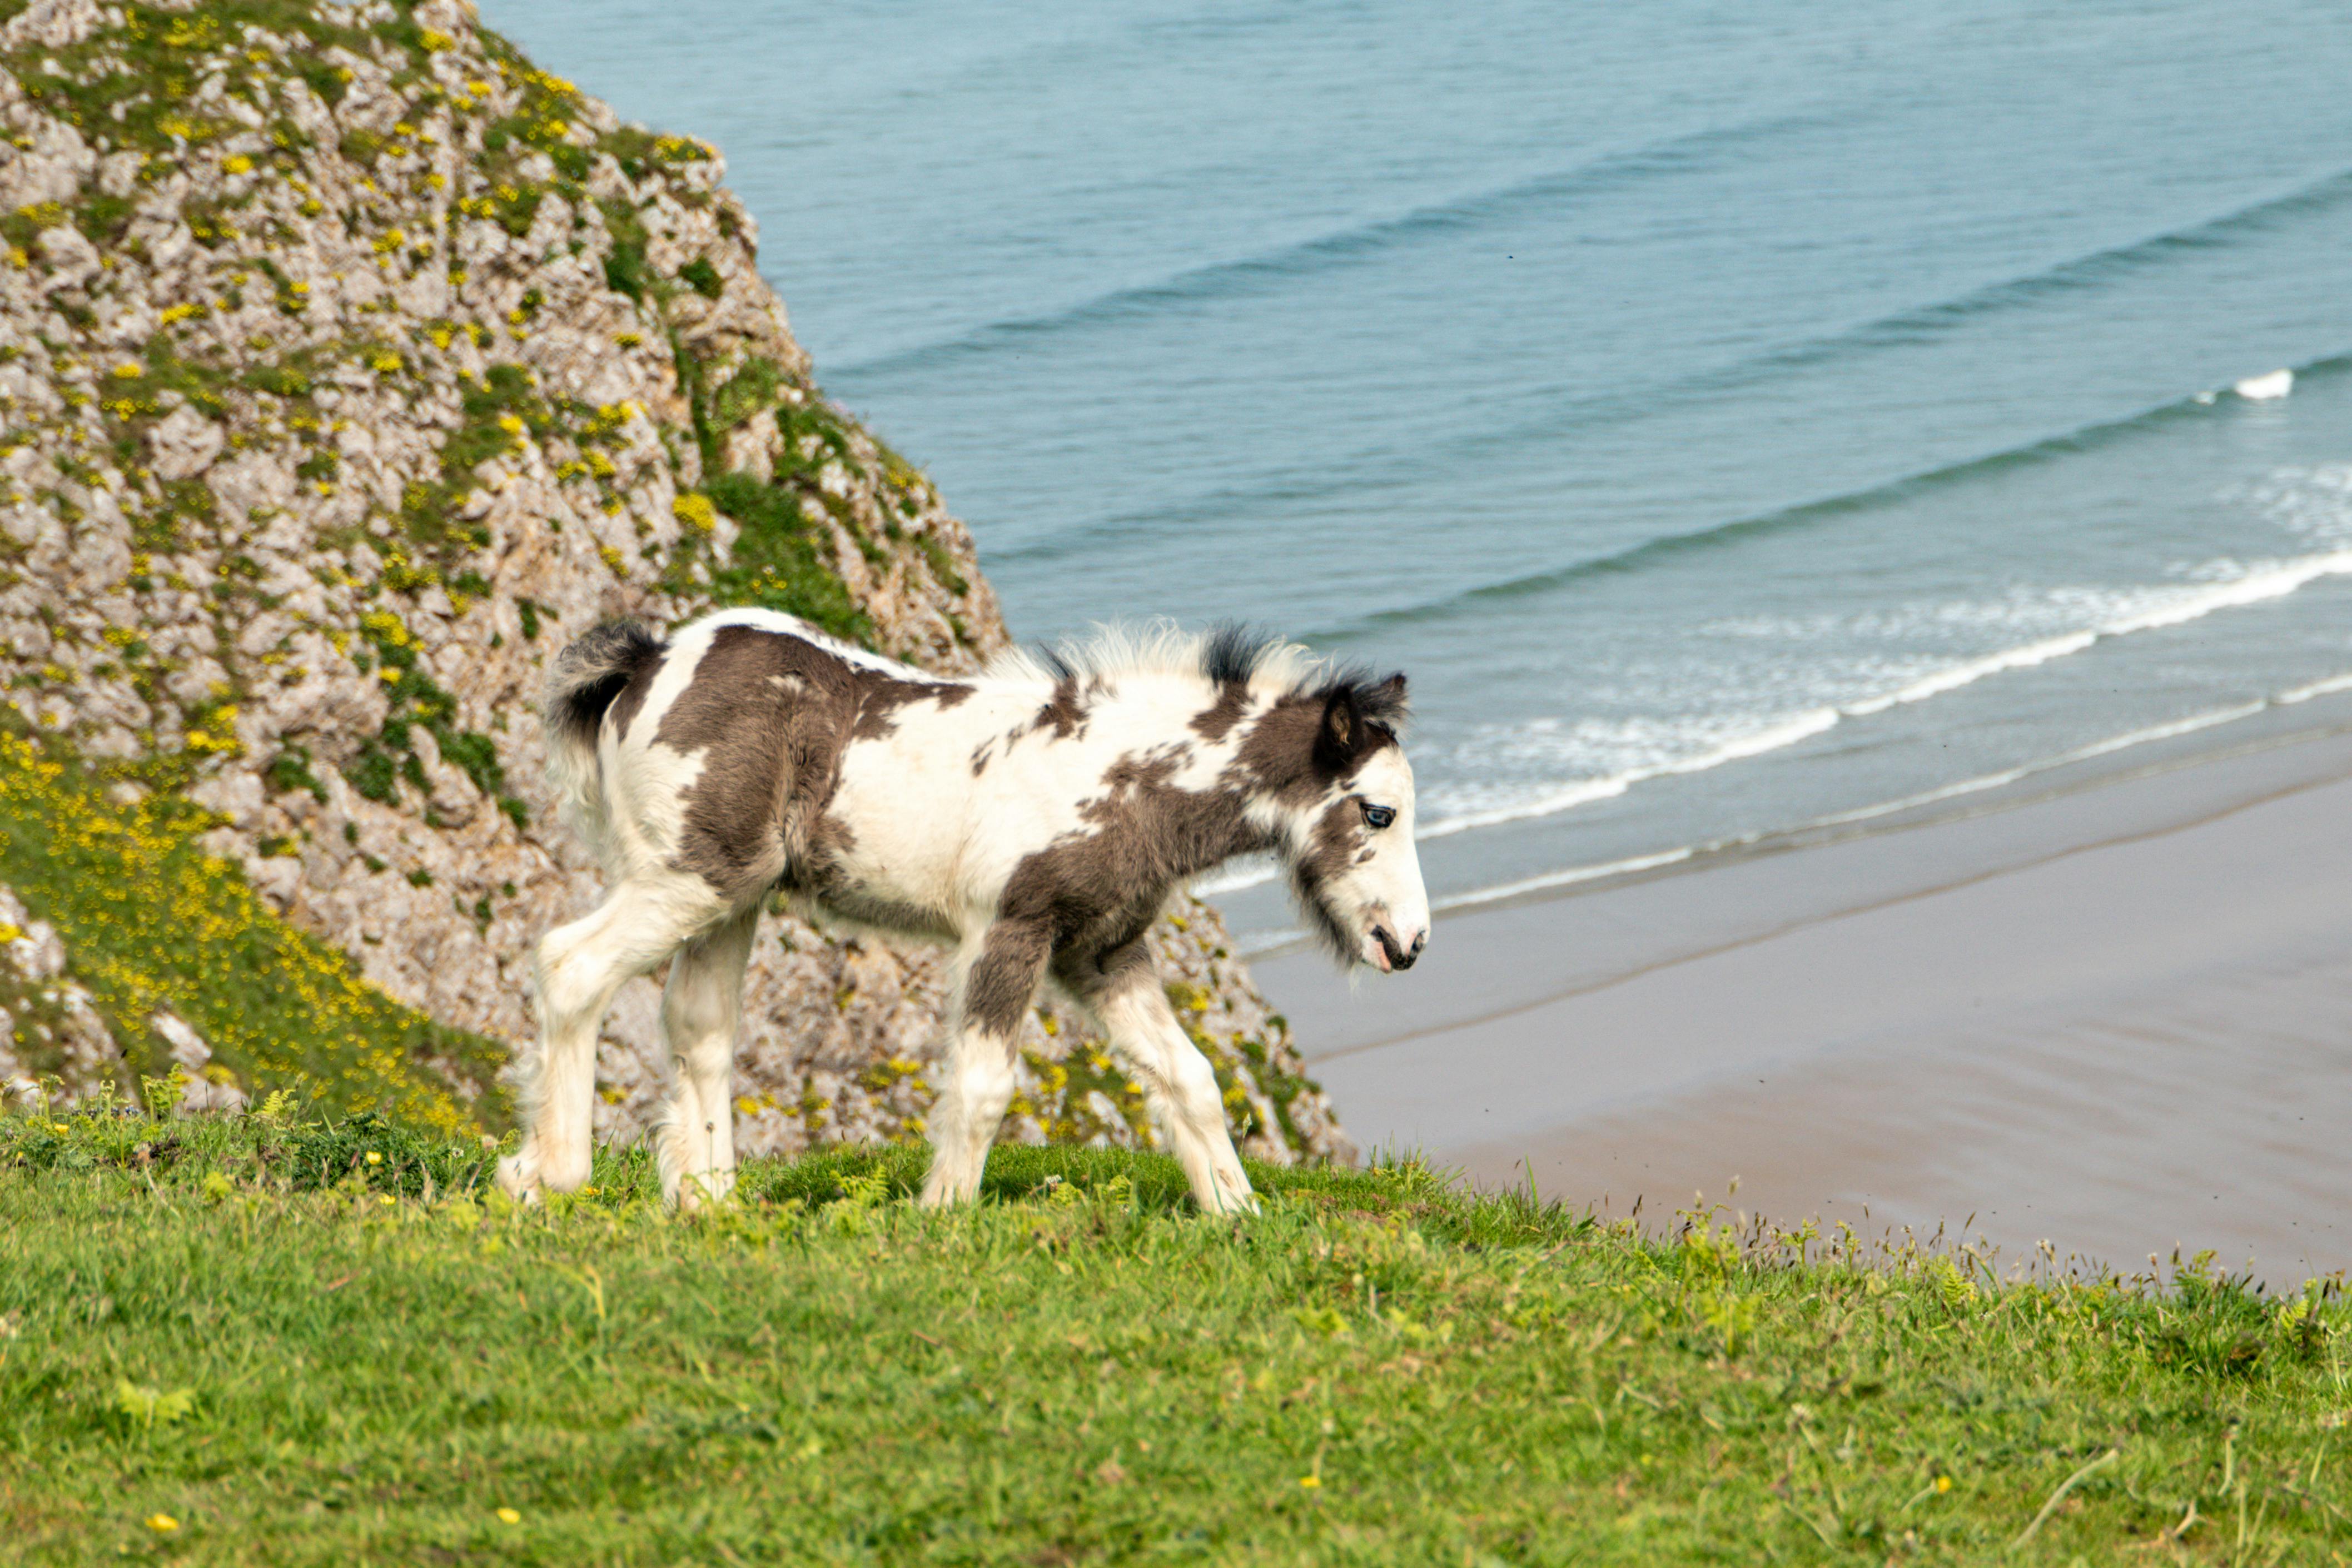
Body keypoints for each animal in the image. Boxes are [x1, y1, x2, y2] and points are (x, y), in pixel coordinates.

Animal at [501, 611, 1430, 1213]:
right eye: (1378, 813)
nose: (1409, 942)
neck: (1117, 777)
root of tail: (648, 660)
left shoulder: (1100, 952)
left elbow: (1190, 1077)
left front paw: (1237, 1216)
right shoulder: (1007, 931)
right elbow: (983, 1085)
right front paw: (943, 1217)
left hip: (734, 893)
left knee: (699, 1027)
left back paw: (706, 1202)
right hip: (685, 880)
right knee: (570, 965)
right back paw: (551, 1176)